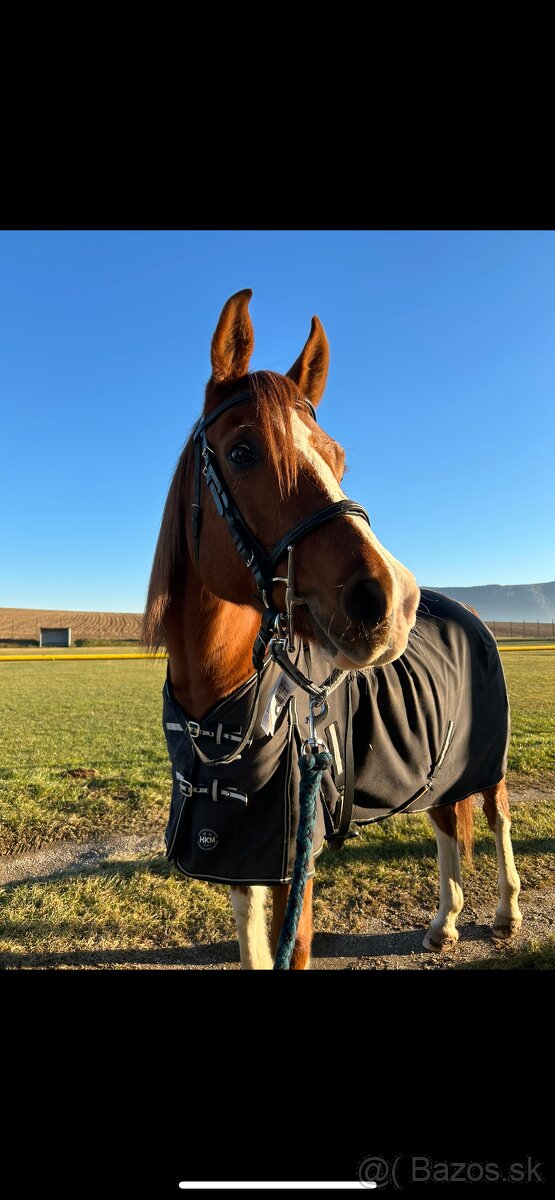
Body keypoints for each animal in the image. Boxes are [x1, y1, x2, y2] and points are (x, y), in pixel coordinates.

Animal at [145, 288, 521, 964]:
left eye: (338, 459)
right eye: (242, 452)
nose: (392, 599)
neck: (223, 713)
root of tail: (473, 616)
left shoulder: (298, 860)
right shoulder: (242, 854)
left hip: (488, 762)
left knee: (497, 817)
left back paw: (506, 912)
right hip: (436, 767)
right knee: (445, 824)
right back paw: (445, 922)